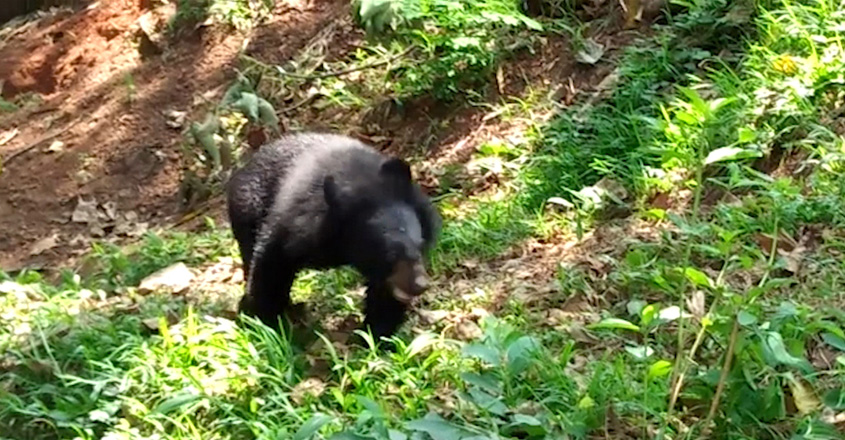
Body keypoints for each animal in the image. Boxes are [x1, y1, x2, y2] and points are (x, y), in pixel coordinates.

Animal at [226, 132, 441, 339]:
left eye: (420, 245)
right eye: (390, 254)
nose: (420, 285)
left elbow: (384, 298)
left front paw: (376, 336)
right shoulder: (292, 227)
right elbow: (272, 268)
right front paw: (262, 324)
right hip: (248, 212)